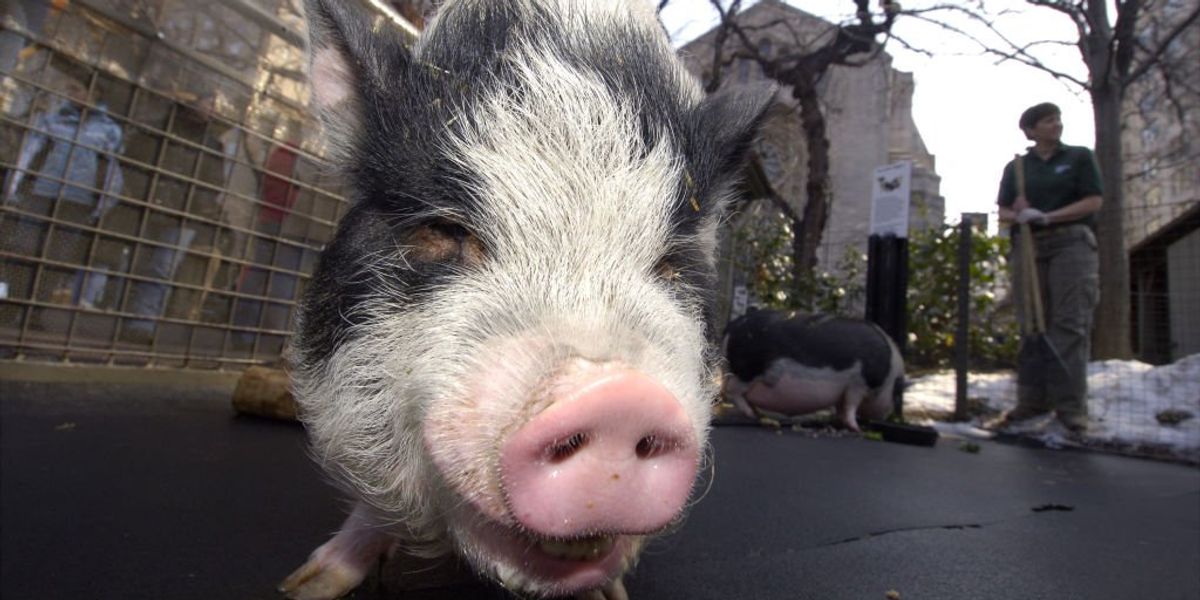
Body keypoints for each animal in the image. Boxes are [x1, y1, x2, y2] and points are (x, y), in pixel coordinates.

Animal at [721, 308, 902, 431]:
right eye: (897, 392)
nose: (886, 414)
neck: (890, 370)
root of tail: (732, 328)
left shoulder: (845, 391)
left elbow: (841, 406)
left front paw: (838, 422)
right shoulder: (858, 383)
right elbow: (851, 405)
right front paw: (856, 428)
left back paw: (757, 414)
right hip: (748, 371)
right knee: (731, 390)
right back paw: (751, 414)